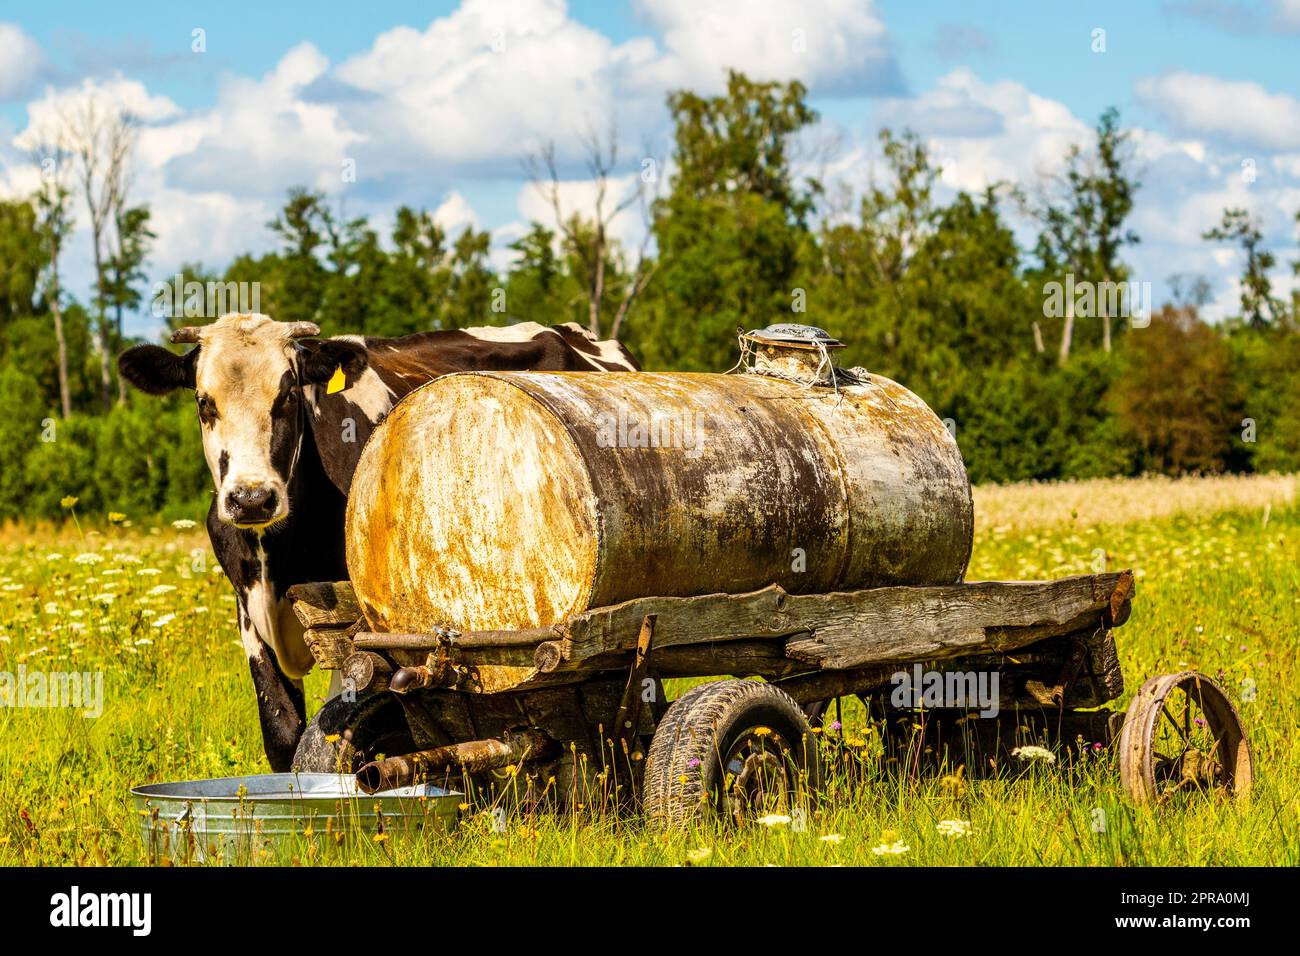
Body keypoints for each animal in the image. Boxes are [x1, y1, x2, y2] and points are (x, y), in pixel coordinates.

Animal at [119, 314, 637, 770]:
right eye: (204, 402)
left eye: (288, 395)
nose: (251, 499)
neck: (278, 556)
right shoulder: (248, 610)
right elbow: (282, 734)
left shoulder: (351, 622)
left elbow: (337, 719)